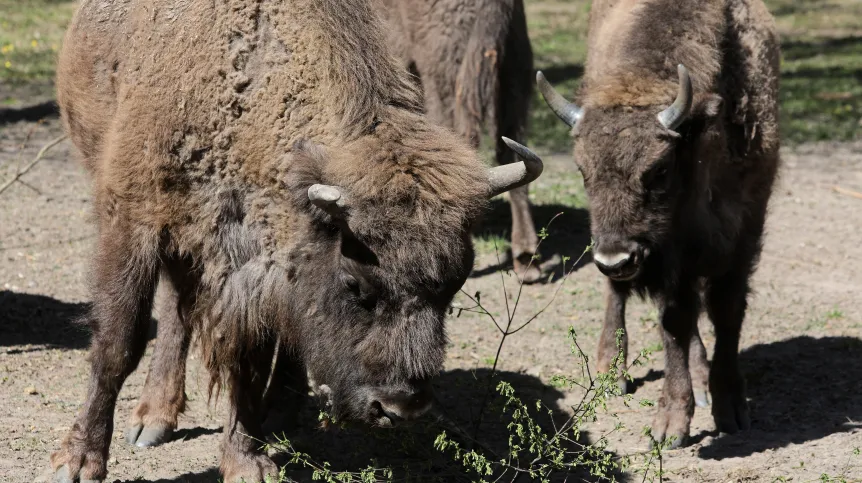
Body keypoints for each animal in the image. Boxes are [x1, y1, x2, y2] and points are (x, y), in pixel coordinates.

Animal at [536, 0, 780, 448]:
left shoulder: (744, 230)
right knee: (619, 296)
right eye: (583, 171)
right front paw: (670, 424)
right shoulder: (669, 255)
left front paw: (730, 407)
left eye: (659, 170)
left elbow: (726, 311)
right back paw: (612, 369)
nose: (614, 259)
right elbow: (674, 322)